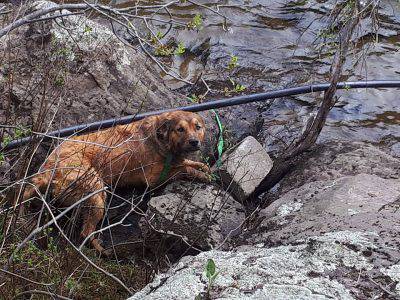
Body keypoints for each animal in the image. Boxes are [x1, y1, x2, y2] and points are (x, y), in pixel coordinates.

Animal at [21, 110, 211, 253]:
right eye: (180, 129)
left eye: (198, 127)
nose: (194, 142)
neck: (159, 138)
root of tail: (46, 170)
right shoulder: (154, 177)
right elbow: (184, 168)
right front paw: (201, 174)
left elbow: (188, 163)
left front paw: (203, 167)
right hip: (96, 191)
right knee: (85, 232)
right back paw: (101, 251)